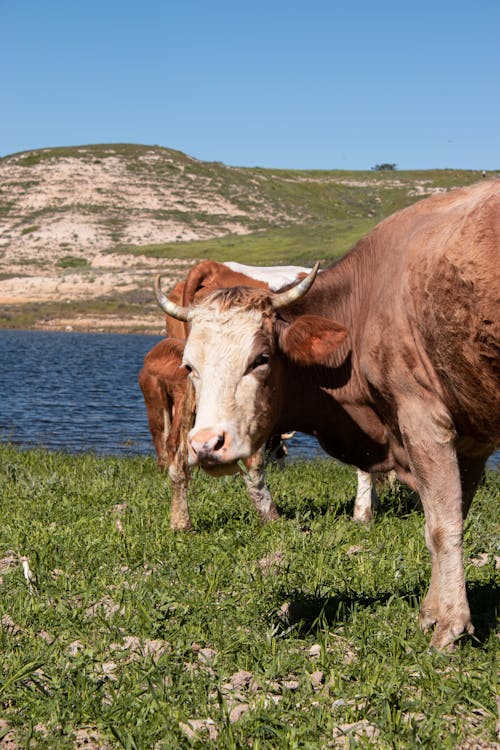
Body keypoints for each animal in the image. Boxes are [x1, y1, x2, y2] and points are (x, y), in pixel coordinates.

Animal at [139, 262, 380, 532]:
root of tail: (210, 267)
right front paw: (363, 514)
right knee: (251, 458)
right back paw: (270, 516)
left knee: (177, 448)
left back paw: (181, 521)